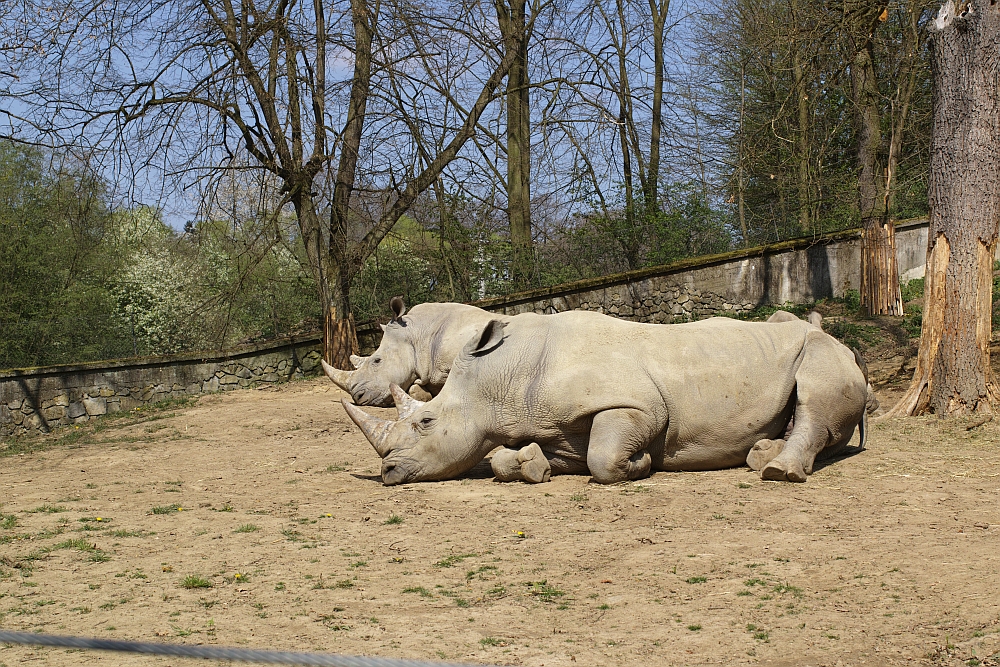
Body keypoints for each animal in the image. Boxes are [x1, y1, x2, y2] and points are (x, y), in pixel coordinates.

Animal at [342, 310, 869, 485]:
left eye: (425, 423)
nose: (388, 472)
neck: (498, 380)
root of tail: (852, 348)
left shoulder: (635, 406)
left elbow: (603, 457)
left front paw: (642, 465)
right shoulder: (550, 425)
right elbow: (504, 459)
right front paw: (531, 467)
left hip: (822, 348)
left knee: (816, 397)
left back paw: (777, 472)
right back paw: (760, 455)